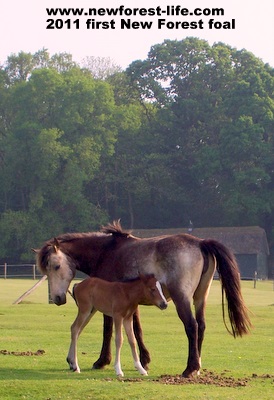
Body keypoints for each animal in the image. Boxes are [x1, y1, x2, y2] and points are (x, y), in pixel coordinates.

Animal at [34, 220, 253, 376]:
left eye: (56, 266)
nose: (57, 298)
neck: (105, 253)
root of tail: (200, 243)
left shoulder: (110, 302)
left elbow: (108, 330)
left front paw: (102, 361)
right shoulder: (131, 302)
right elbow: (137, 330)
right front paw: (144, 360)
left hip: (181, 298)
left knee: (192, 326)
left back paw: (189, 369)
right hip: (200, 297)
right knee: (201, 326)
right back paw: (197, 365)